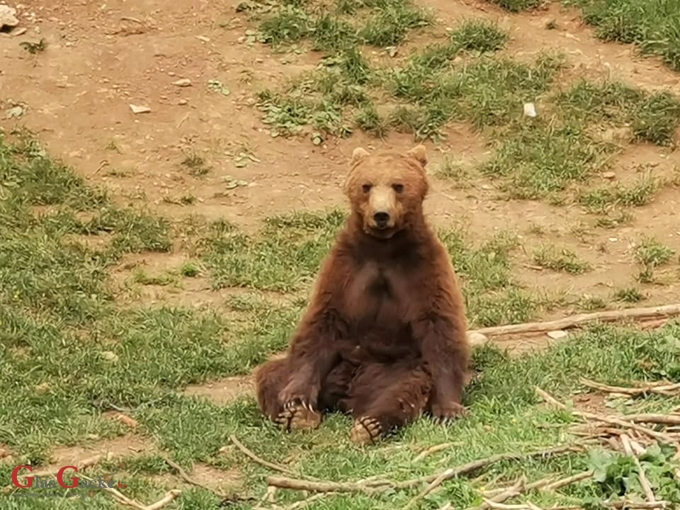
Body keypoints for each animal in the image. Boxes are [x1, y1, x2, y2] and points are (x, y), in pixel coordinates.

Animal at [252, 142, 470, 442]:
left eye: (398, 185)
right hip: (336, 364)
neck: (383, 249)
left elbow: (441, 325)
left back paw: (370, 425)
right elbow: (322, 320)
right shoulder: (347, 266)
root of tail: (346, 396)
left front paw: (449, 407)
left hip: (390, 369)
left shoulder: (423, 266)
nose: (381, 215)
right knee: (271, 373)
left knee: (406, 387)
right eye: (366, 185)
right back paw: (299, 415)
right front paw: (295, 399)